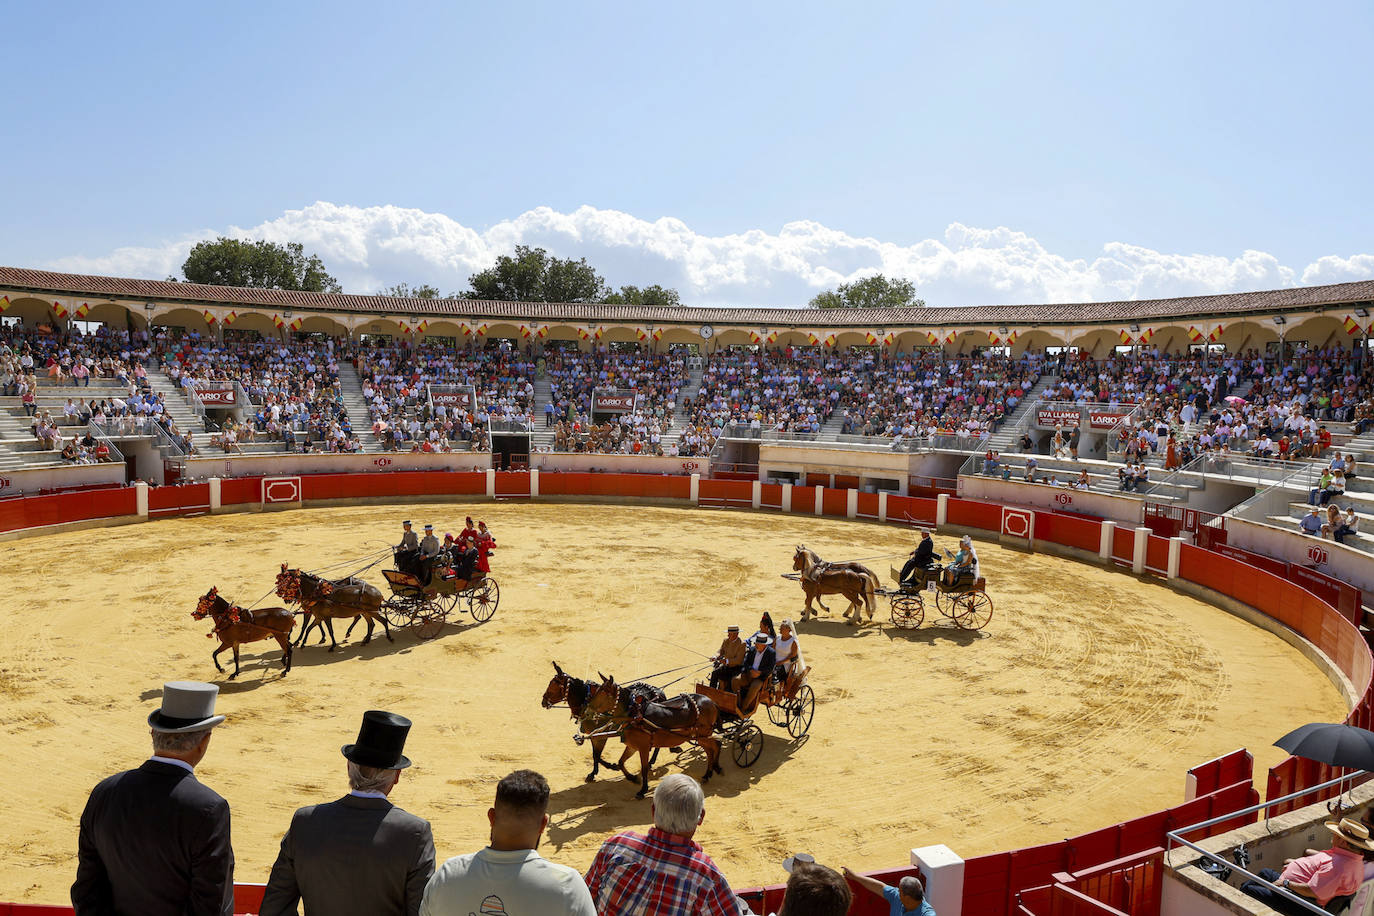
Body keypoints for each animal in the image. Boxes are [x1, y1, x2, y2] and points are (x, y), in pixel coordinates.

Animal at [585, 678, 725, 796]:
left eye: (603, 693)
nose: (588, 710)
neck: (634, 716)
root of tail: (712, 702)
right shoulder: (632, 746)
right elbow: (620, 762)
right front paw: (633, 778)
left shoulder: (643, 747)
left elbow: (644, 768)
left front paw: (643, 790)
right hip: (699, 737)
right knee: (710, 750)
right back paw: (708, 774)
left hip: (702, 735)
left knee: (716, 745)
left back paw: (716, 768)